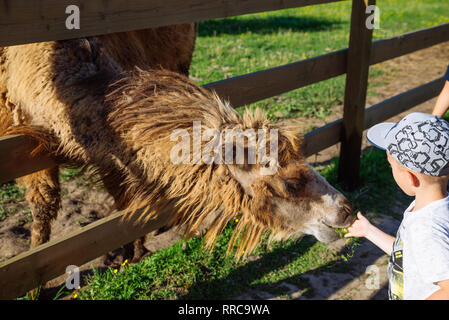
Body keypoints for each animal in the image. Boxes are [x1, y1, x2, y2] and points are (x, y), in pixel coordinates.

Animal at [0, 21, 354, 262]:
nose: (346, 211)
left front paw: (134, 249)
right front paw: (35, 278)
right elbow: (43, 205)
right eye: (290, 183)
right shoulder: (20, 136)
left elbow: (126, 198)